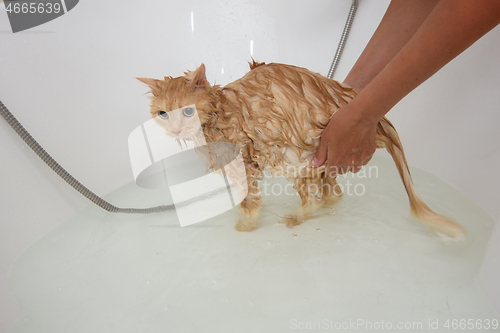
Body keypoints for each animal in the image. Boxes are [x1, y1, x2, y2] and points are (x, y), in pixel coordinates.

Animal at [137, 61, 464, 239]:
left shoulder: (245, 159)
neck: (218, 114)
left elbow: (248, 200)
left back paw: (295, 217)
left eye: (187, 111)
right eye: (163, 113)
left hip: (296, 155)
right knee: (334, 193)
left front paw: (245, 226)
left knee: (316, 199)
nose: (175, 130)